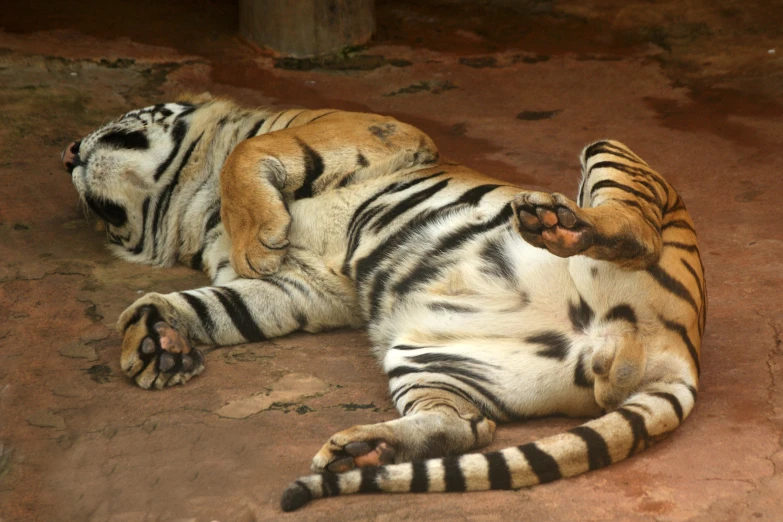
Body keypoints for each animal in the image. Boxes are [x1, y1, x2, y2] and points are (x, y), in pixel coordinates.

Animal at [64, 96, 708, 508]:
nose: (68, 152)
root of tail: (672, 356)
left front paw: (255, 238)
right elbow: (207, 305)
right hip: (431, 359)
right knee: (465, 427)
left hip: (613, 155)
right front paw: (157, 345)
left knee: (634, 230)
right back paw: (362, 451)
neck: (187, 207)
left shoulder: (366, 128)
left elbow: (244, 159)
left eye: (119, 117)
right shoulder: (299, 288)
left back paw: (556, 221)